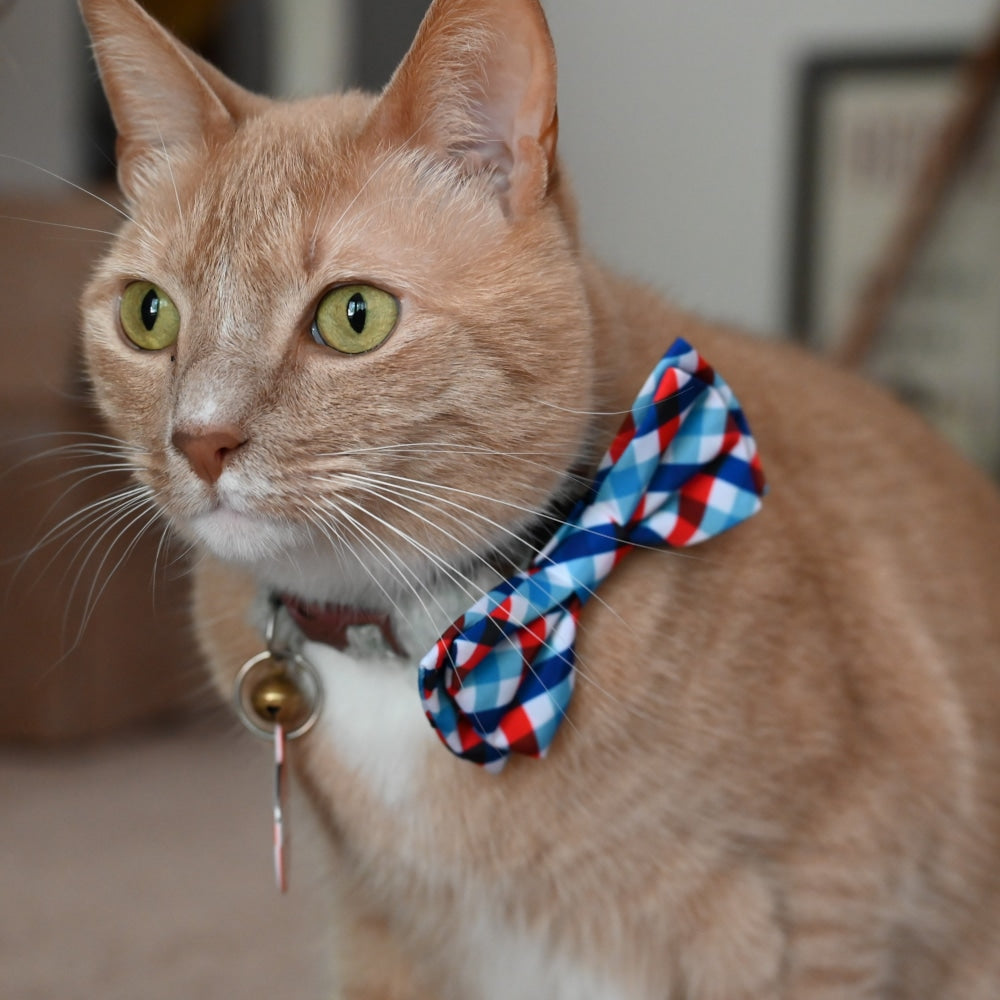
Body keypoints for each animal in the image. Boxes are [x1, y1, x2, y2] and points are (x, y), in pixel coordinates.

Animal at [76, 0, 1000, 996]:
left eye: (353, 316)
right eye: (148, 315)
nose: (200, 439)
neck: (409, 639)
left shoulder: (825, 903)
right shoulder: (380, 935)